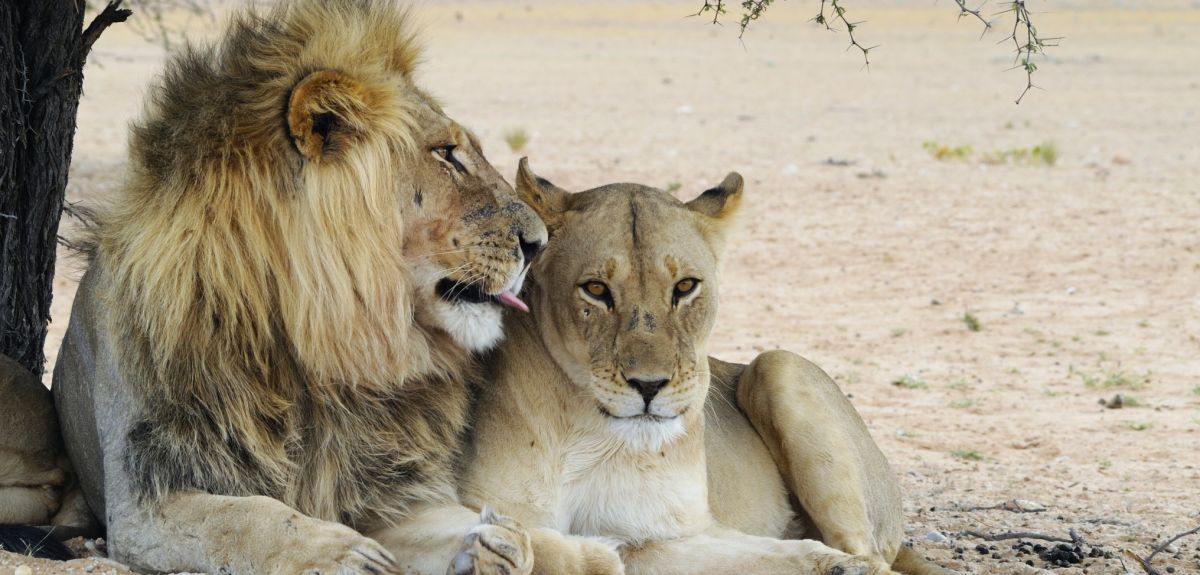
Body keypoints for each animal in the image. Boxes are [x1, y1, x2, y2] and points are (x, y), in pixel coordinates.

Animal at [52, 2, 544, 573]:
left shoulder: (388, 489)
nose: (539, 243)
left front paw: (496, 543)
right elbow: (250, 518)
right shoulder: (145, 491)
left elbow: (481, 531)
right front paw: (345, 553)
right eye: (446, 154)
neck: (317, 341)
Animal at [453, 160, 950, 575]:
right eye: (595, 289)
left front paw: (841, 568)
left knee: (865, 547)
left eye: (685, 286)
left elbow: (778, 554)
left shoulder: (666, 533)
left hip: (778, 364)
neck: (593, 436)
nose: (649, 386)